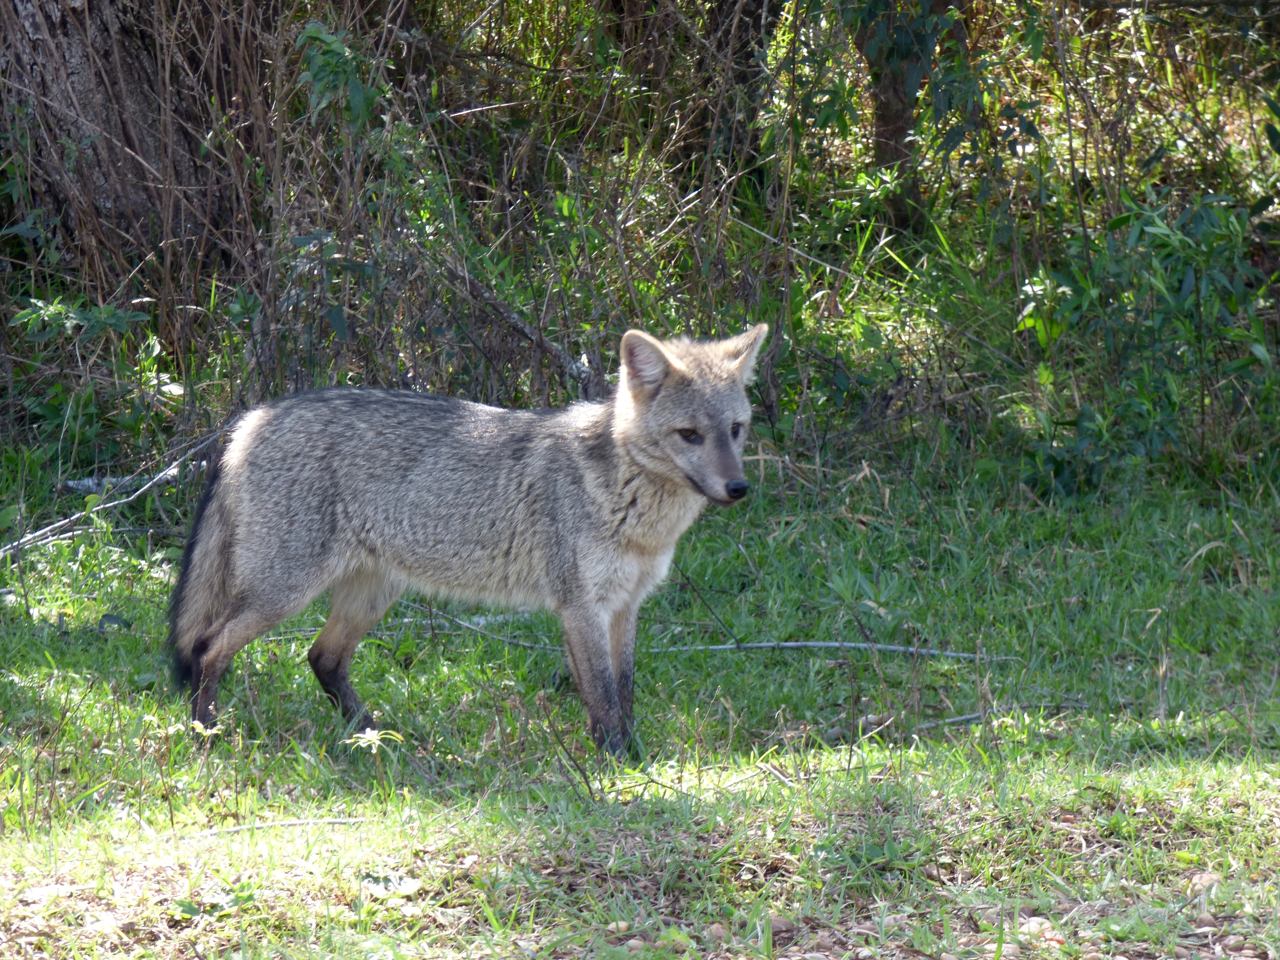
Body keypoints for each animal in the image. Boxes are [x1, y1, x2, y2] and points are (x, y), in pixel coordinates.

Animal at [168, 324, 768, 756]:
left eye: (735, 430)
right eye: (689, 435)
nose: (739, 488)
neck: (631, 504)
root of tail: (253, 417)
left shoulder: (626, 606)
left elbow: (624, 691)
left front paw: (638, 757)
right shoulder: (581, 608)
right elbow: (601, 696)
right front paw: (618, 765)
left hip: (370, 596)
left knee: (323, 659)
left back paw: (377, 738)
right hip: (285, 594)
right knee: (208, 648)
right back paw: (207, 735)